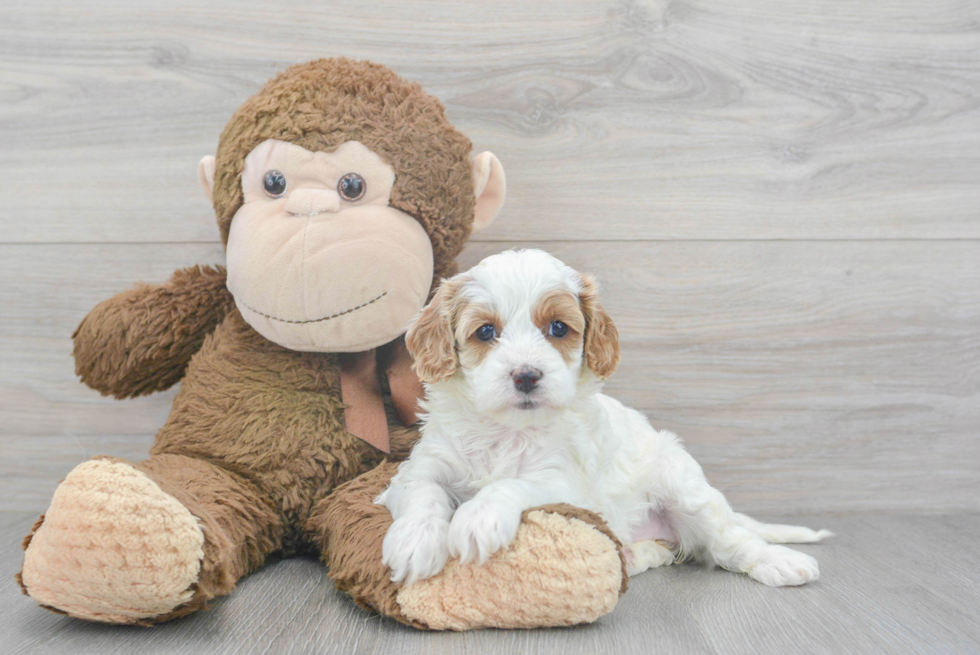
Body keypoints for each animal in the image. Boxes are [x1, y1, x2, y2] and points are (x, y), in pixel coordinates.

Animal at [378, 252, 832, 588]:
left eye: (558, 328)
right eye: (486, 332)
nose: (526, 375)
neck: (506, 431)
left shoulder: (568, 485)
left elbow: (512, 484)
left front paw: (478, 518)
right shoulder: (422, 466)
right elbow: (424, 492)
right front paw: (415, 541)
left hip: (684, 488)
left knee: (728, 542)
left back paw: (778, 562)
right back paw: (633, 555)